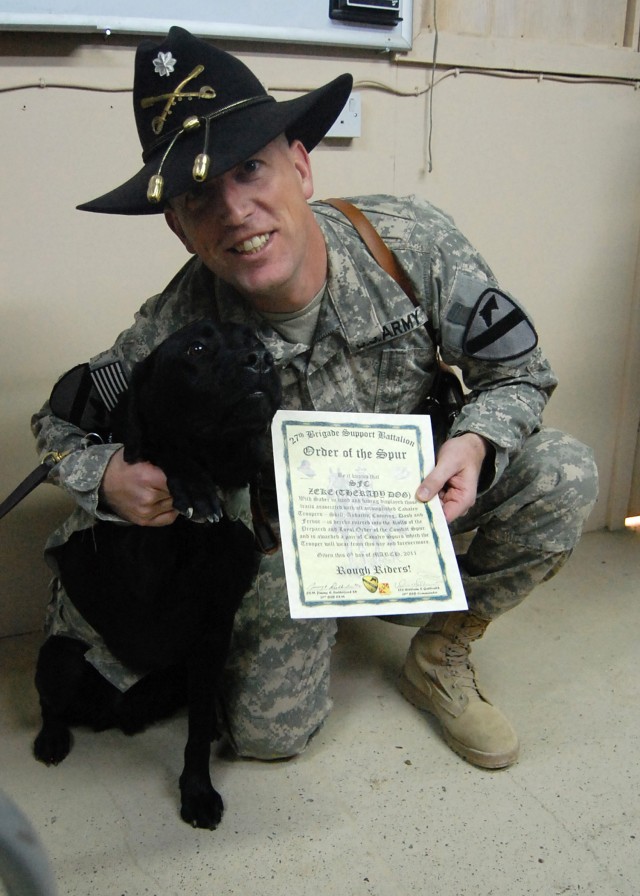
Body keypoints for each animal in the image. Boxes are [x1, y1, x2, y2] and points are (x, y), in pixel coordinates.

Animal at [31, 318, 278, 828]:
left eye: (255, 340)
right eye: (196, 348)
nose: (263, 360)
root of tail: (119, 713)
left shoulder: (213, 632)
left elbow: (197, 729)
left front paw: (197, 791)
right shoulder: (147, 573)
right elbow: (159, 448)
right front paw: (194, 487)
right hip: (60, 657)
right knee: (50, 703)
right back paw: (51, 739)